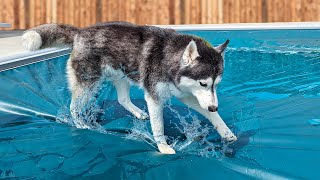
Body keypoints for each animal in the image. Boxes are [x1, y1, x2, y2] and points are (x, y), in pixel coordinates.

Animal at [22, 21, 236, 153]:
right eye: (203, 83)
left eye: (216, 84)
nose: (214, 106)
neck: (168, 58)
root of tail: (80, 32)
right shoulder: (155, 97)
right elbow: (158, 126)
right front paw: (163, 147)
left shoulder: (187, 94)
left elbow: (211, 115)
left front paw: (226, 132)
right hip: (88, 83)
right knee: (74, 106)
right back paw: (81, 124)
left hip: (121, 76)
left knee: (122, 99)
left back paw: (137, 112)